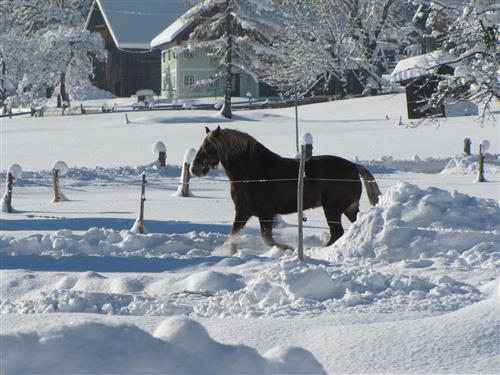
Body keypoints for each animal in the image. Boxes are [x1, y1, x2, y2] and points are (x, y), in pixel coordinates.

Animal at [189, 127, 380, 256]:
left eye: (208, 146)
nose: (194, 168)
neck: (254, 172)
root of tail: (353, 167)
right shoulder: (243, 212)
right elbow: (233, 234)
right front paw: (232, 252)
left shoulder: (265, 213)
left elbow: (267, 238)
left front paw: (288, 248)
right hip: (348, 208)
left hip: (332, 208)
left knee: (337, 232)